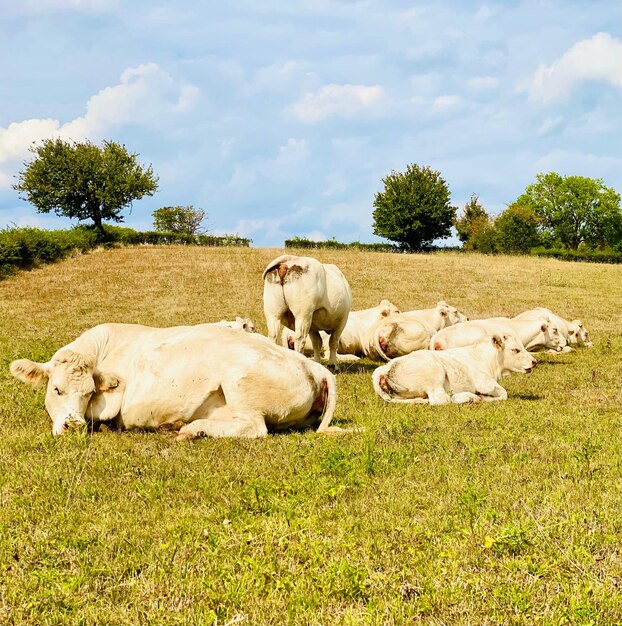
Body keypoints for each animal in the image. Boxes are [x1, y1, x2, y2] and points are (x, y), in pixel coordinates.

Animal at [372, 332, 540, 404]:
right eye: (515, 350)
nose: (534, 362)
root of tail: (384, 369)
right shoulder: (484, 382)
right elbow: (504, 394)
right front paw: (485, 398)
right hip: (436, 373)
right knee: (443, 399)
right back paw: (469, 397)